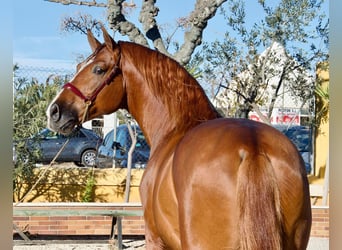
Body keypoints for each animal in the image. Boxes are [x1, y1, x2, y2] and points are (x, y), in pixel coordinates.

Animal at [46, 28, 312, 249]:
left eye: (99, 69)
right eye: (80, 65)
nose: (54, 111)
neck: (175, 127)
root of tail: (252, 146)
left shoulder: (155, 239)